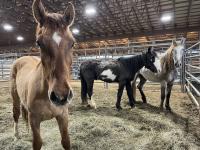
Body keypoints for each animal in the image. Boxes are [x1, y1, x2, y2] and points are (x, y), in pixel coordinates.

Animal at [9, 0, 75, 149]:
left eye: (72, 43)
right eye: (39, 43)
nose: (60, 97)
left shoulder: (63, 116)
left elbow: (66, 141)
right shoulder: (35, 119)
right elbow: (37, 143)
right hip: (15, 97)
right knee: (16, 114)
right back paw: (16, 136)